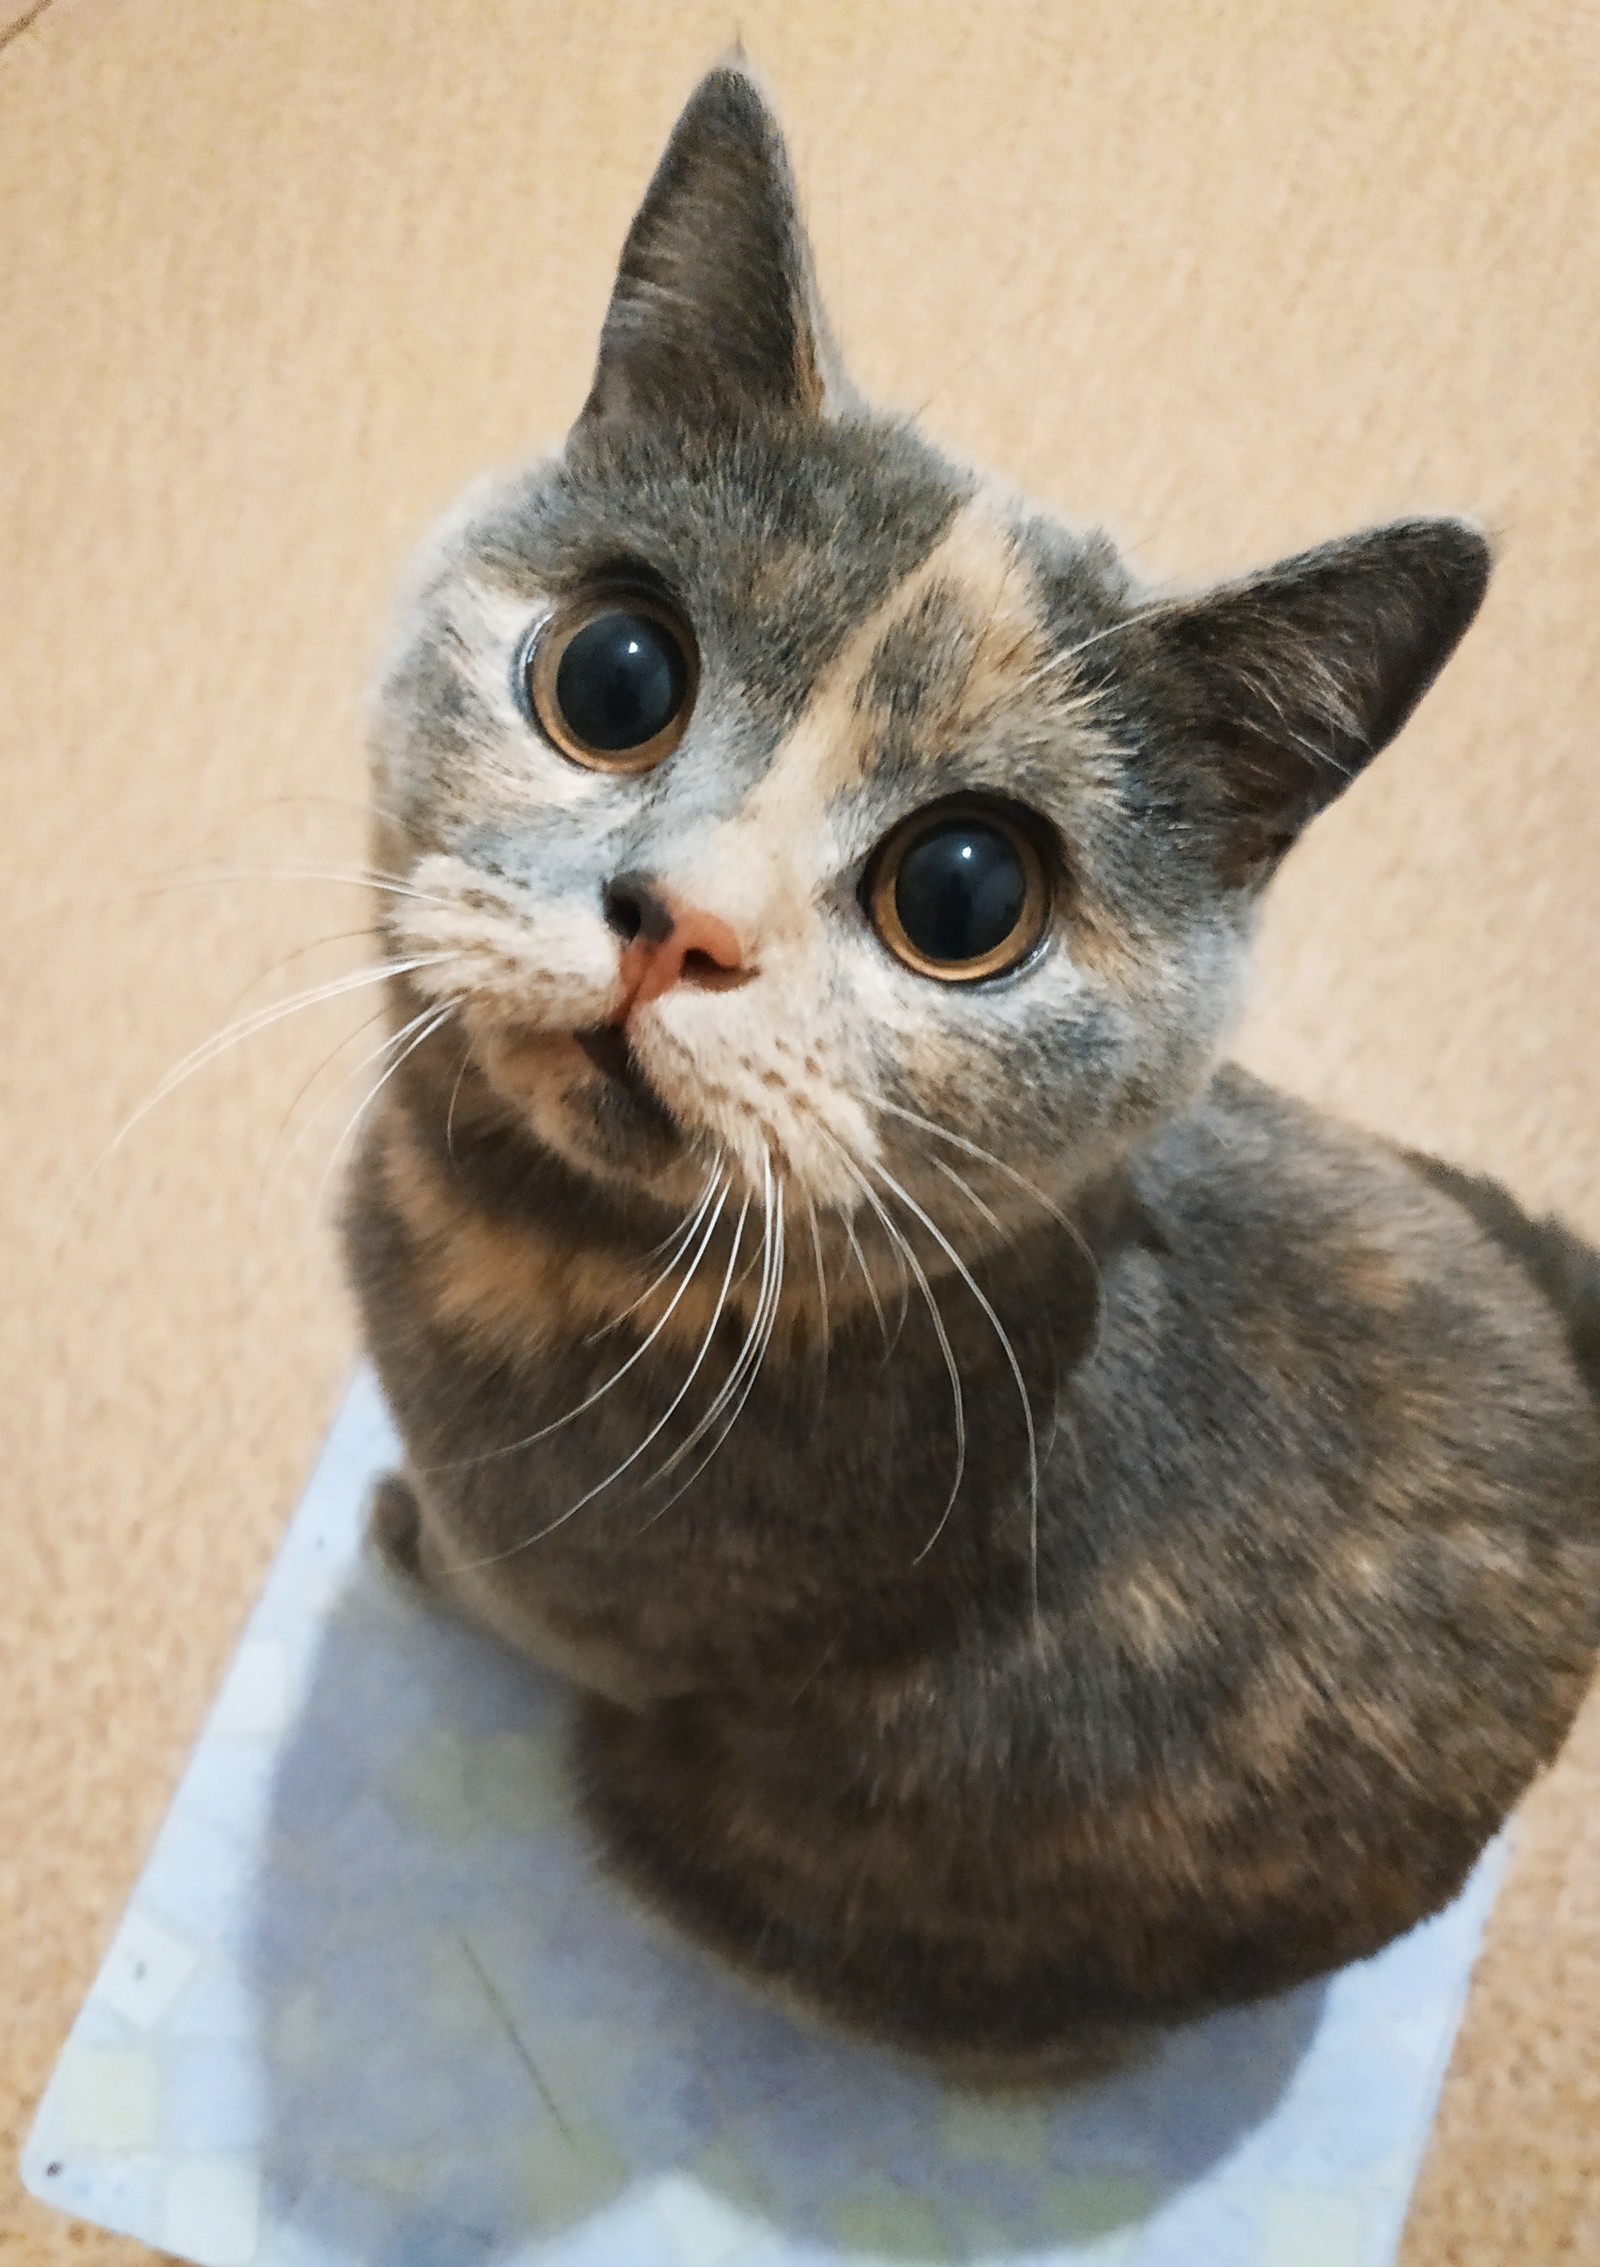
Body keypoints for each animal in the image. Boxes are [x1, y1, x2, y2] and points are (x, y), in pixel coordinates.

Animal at [339, 62, 1595, 2076]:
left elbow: (512, 1592)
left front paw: (406, 1535)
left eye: (965, 893)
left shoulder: (614, 1606)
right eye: (613, 678)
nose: (680, 920)